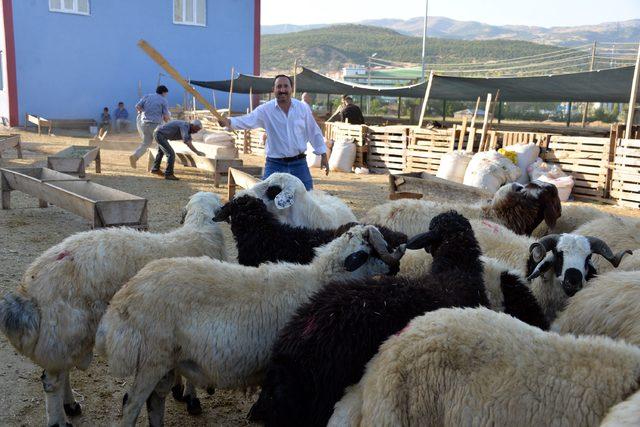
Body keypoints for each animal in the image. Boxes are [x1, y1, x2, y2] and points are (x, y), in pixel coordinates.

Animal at [0, 191, 229, 427]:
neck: (199, 230)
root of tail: (28, 290)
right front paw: (192, 399)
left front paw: (178, 388)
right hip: (66, 331)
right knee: (52, 382)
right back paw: (59, 419)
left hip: (65, 337)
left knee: (63, 373)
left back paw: (70, 405)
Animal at [94, 226, 404, 426]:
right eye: (371, 251)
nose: (396, 266)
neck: (317, 281)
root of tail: (122, 300)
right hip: (151, 359)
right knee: (132, 404)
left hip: (168, 362)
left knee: (155, 402)